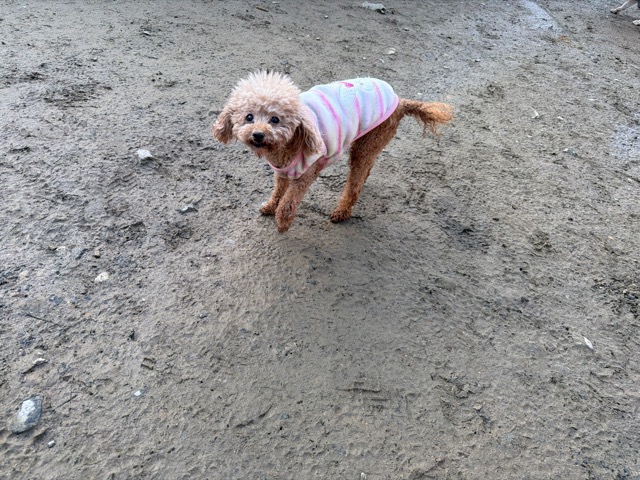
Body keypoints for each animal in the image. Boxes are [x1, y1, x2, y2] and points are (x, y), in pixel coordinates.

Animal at [212, 71, 453, 232]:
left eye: (275, 119)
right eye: (249, 117)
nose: (258, 135)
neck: (288, 144)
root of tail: (400, 101)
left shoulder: (306, 174)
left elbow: (288, 202)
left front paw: (282, 223)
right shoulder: (282, 170)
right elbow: (278, 192)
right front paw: (270, 206)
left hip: (369, 142)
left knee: (354, 184)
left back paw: (342, 212)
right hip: (370, 142)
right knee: (366, 169)